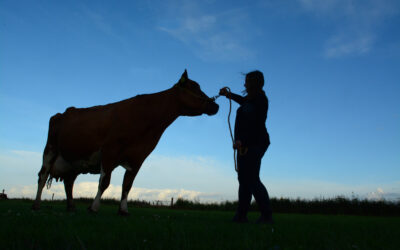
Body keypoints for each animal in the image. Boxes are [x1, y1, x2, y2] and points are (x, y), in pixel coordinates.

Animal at [32, 70, 219, 215]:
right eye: (194, 87)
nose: (215, 106)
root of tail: (63, 112)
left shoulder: (138, 157)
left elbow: (127, 185)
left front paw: (123, 210)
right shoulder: (110, 150)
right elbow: (105, 182)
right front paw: (94, 207)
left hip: (74, 159)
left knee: (69, 181)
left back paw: (71, 207)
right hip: (50, 149)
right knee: (42, 176)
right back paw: (36, 205)